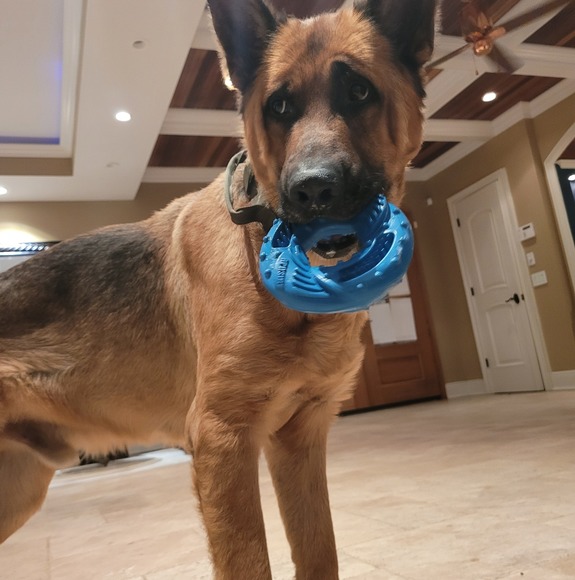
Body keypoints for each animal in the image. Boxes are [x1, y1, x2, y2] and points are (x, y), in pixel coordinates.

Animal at [0, 0, 435, 577]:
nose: (314, 190)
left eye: (360, 92)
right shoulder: (220, 439)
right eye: (279, 106)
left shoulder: (299, 439)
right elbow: (249, 561)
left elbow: (319, 551)